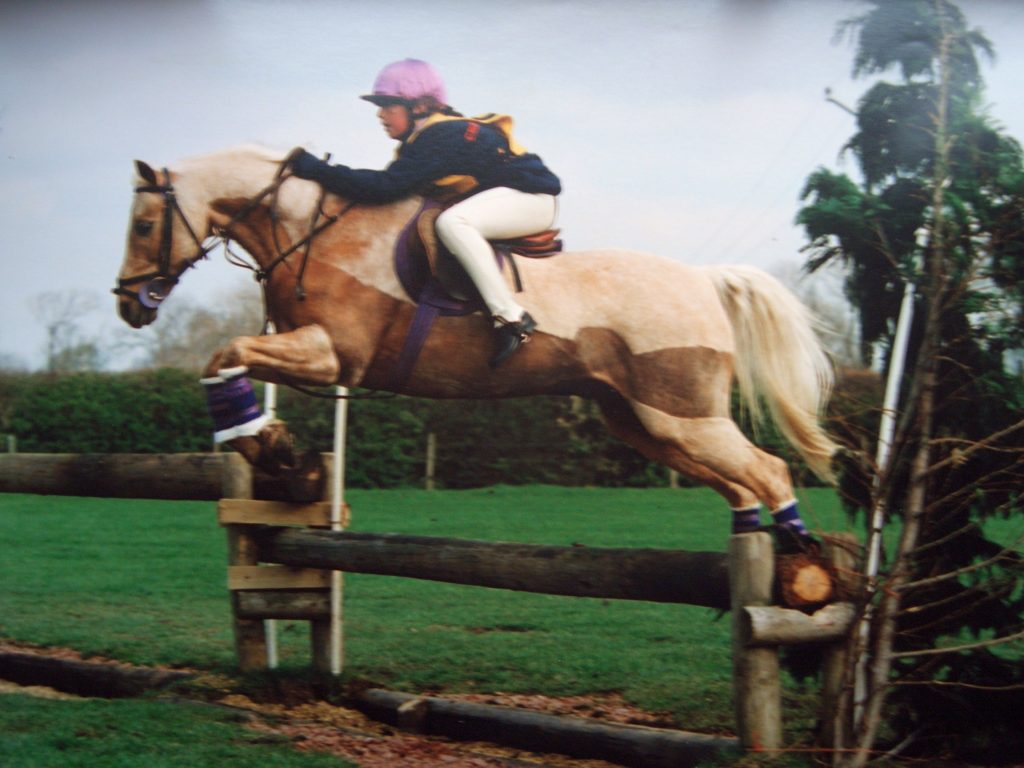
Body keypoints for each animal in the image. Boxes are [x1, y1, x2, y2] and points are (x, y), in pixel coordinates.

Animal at [116, 143, 835, 528]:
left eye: (145, 225)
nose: (128, 305)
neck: (309, 230)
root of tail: (701, 279)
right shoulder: (310, 351)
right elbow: (226, 360)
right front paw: (270, 448)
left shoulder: (333, 355)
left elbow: (227, 352)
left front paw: (268, 447)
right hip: (641, 421)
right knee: (740, 487)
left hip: (683, 415)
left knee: (768, 472)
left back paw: (801, 579)